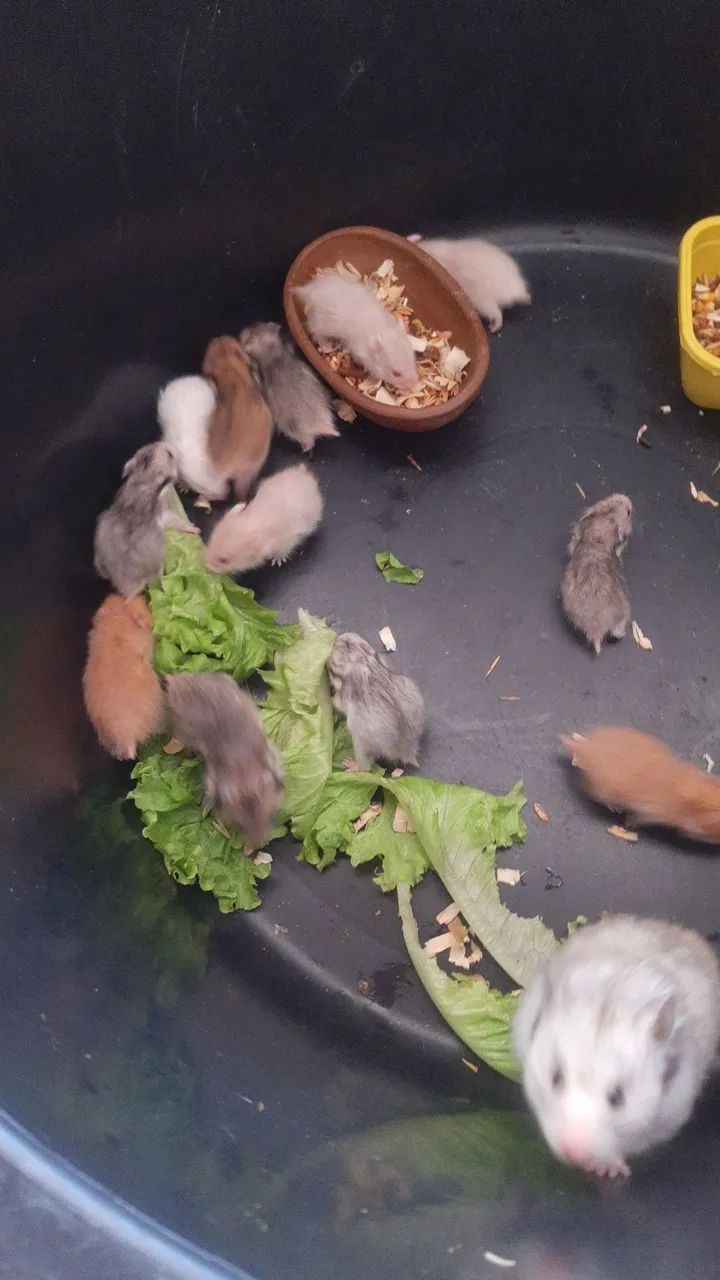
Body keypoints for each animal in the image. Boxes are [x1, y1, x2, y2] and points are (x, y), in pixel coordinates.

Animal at [94, 442, 198, 597]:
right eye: (170, 455)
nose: (172, 446)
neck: (145, 477)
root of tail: (126, 588)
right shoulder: (166, 513)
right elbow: (179, 521)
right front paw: (195, 528)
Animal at [239, 322, 339, 453]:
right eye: (256, 326)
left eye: (250, 334)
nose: (244, 330)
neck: (272, 353)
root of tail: (322, 424)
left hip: (292, 430)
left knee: (309, 443)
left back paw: (305, 449)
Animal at [328, 632, 425, 771]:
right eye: (348, 642)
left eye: (331, 670)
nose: (337, 637)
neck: (361, 661)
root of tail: (407, 751)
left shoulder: (343, 697)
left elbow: (335, 702)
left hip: (361, 744)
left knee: (365, 768)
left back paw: (350, 764)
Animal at [560, 493, 633, 655]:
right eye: (629, 513)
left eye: (609, 498)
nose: (627, 498)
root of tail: (596, 631)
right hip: (623, 612)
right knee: (617, 630)